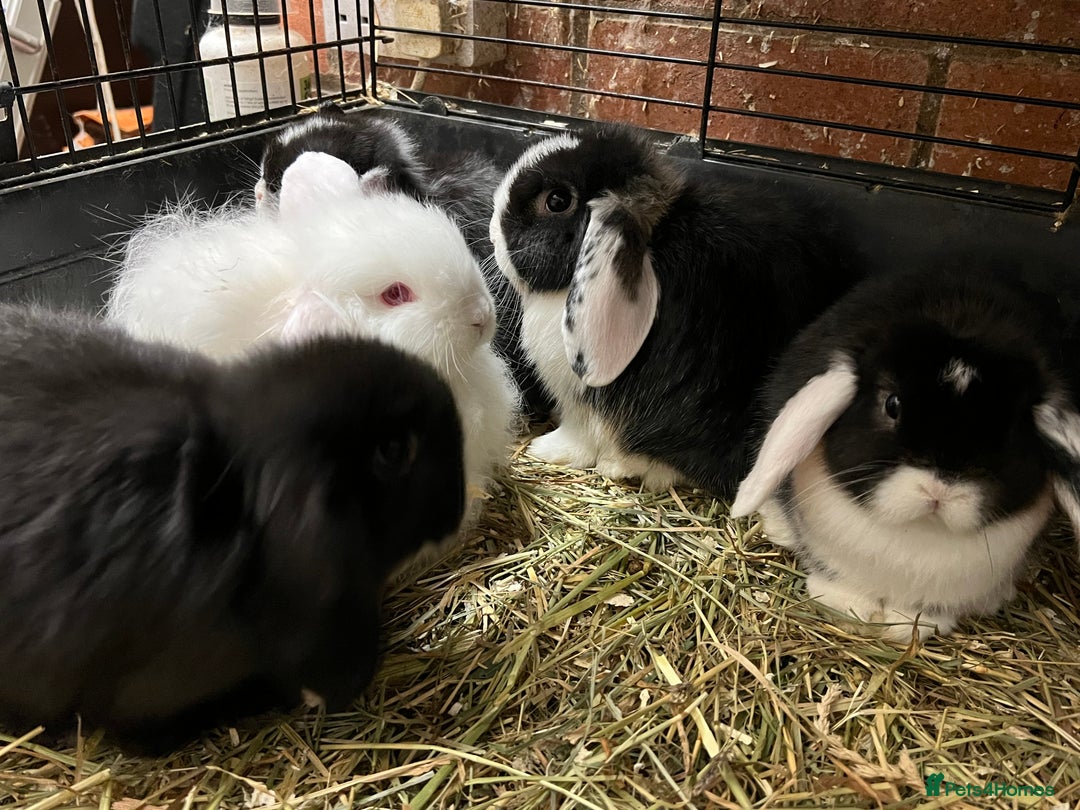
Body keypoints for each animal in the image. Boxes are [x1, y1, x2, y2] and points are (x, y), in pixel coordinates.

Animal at [730, 267, 1080, 641]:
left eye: (1009, 428)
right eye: (892, 405)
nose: (939, 490)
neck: (919, 531)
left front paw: (904, 628)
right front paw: (852, 609)